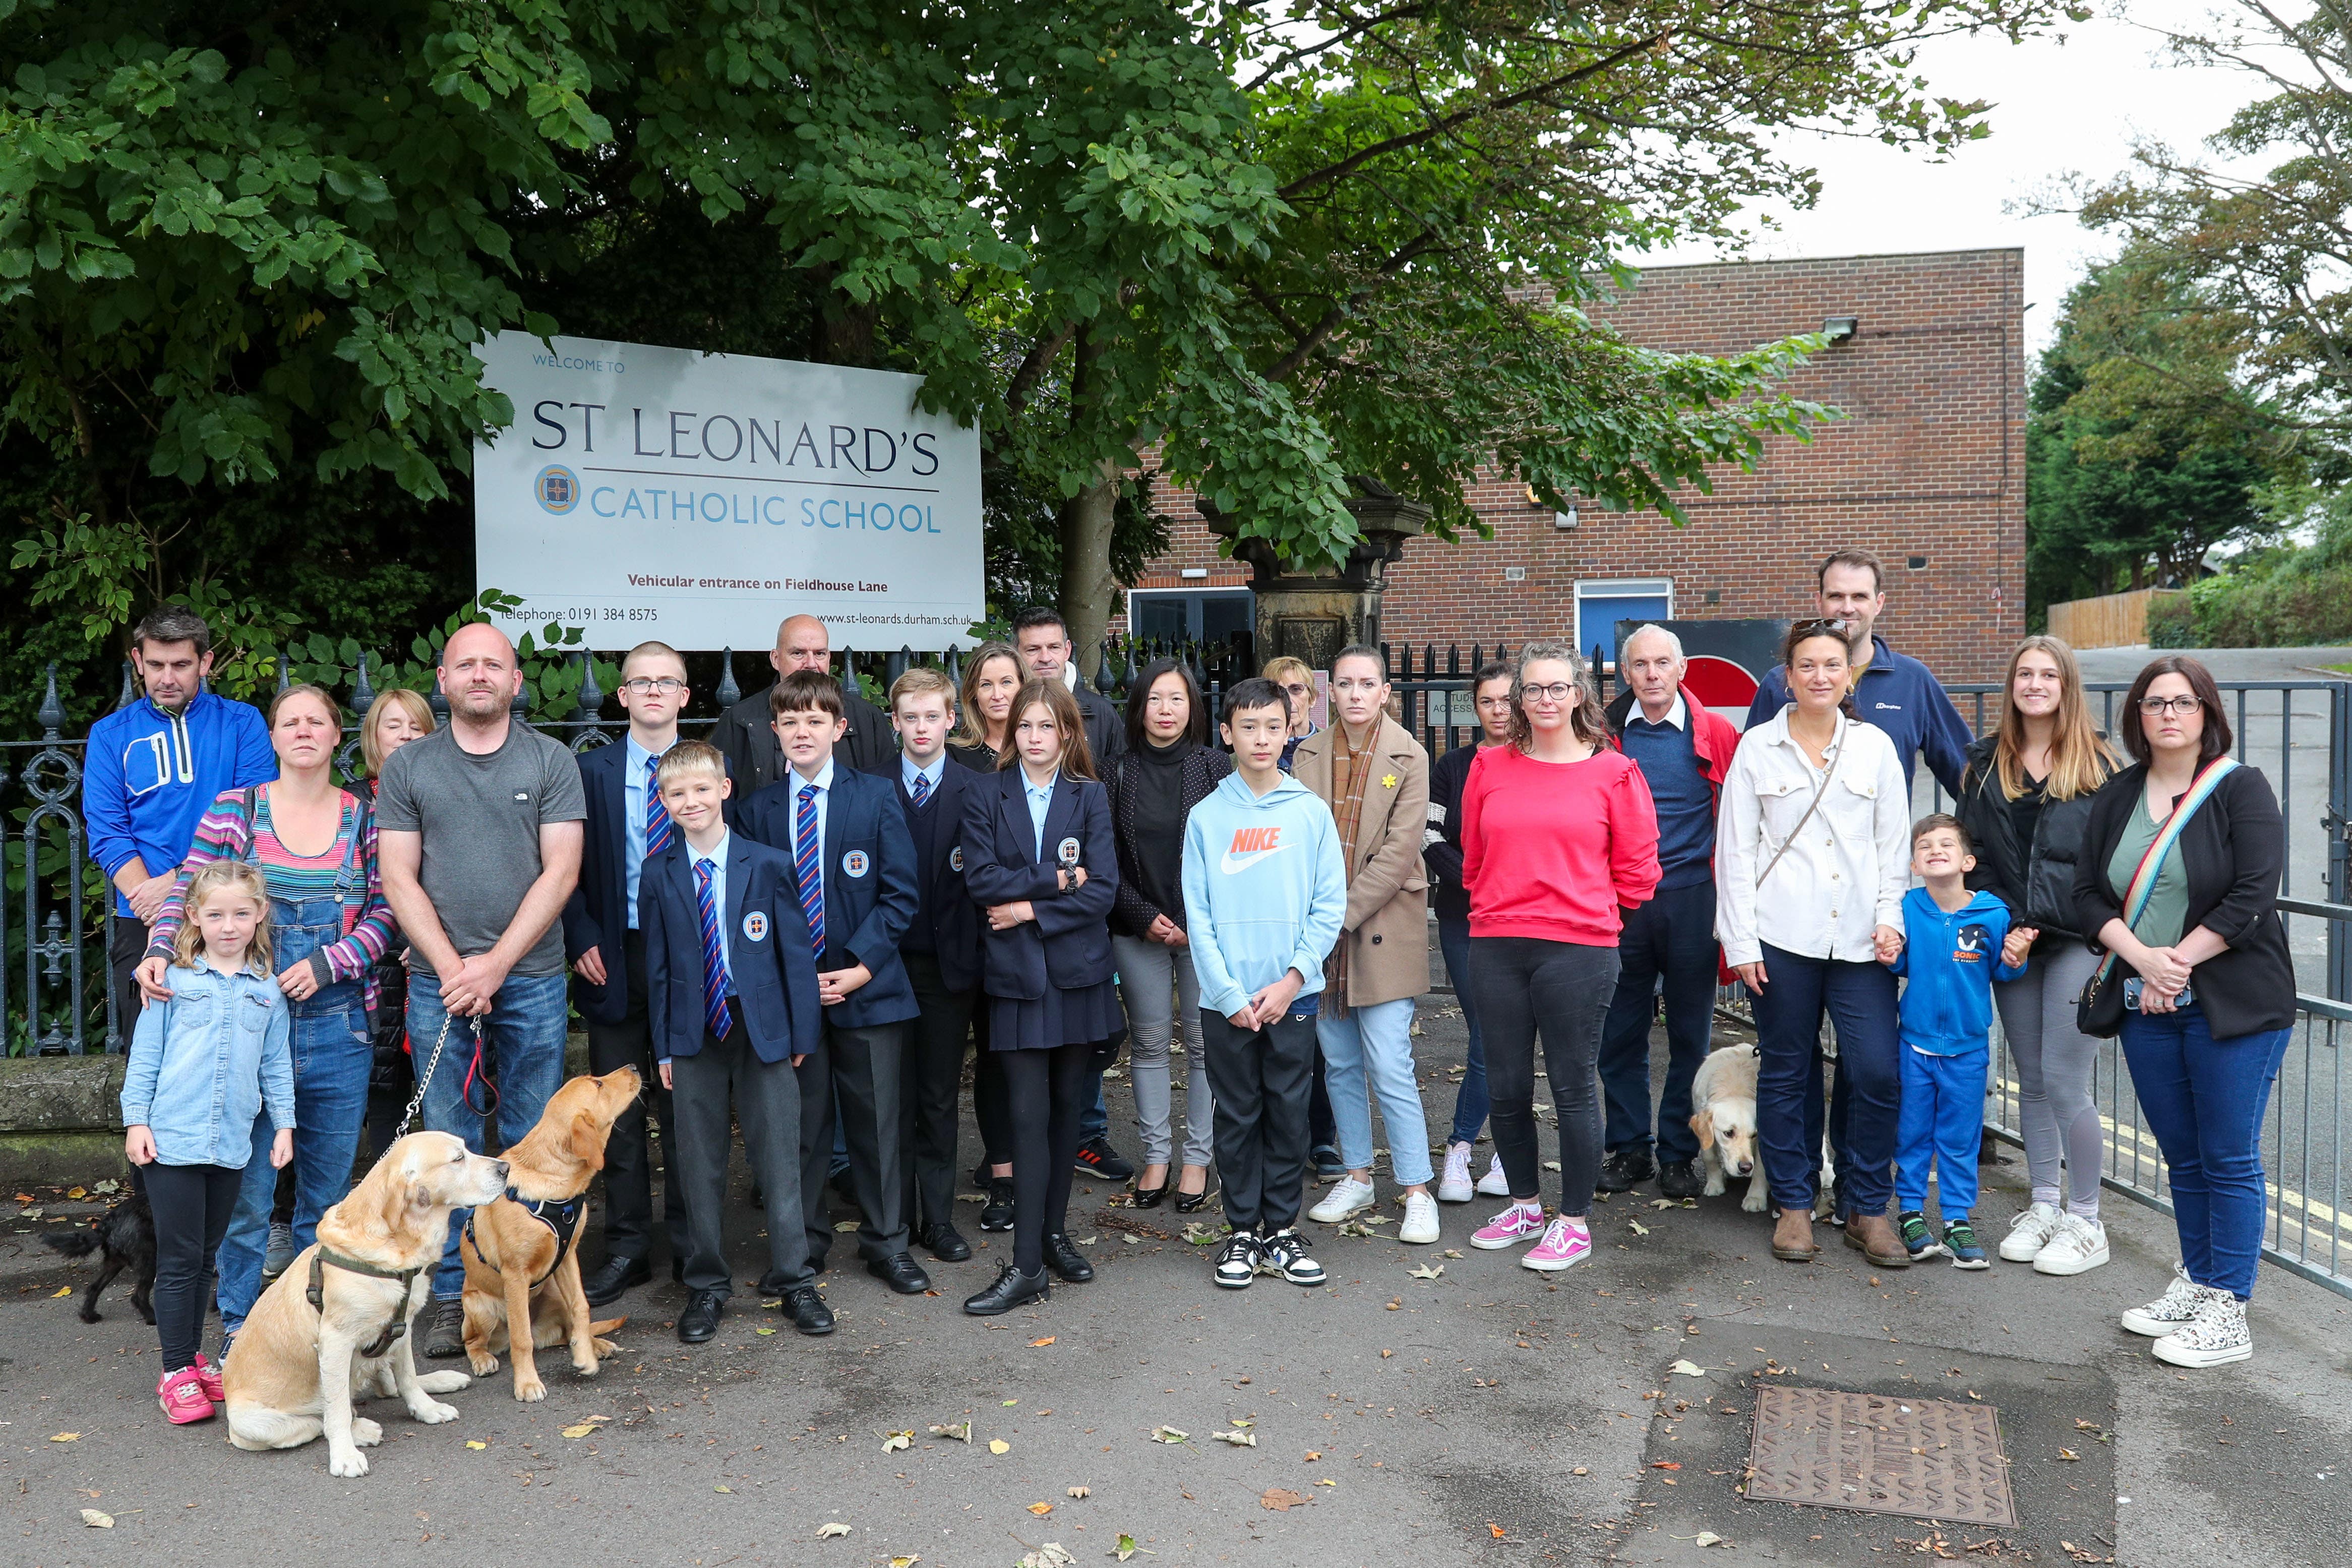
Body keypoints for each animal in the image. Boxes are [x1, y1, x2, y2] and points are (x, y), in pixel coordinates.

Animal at [41, 1203, 156, 1325]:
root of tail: (109, 1223)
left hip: (115, 1263)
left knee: (94, 1287)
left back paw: (89, 1316)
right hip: (149, 1262)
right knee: (138, 1296)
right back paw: (152, 1318)